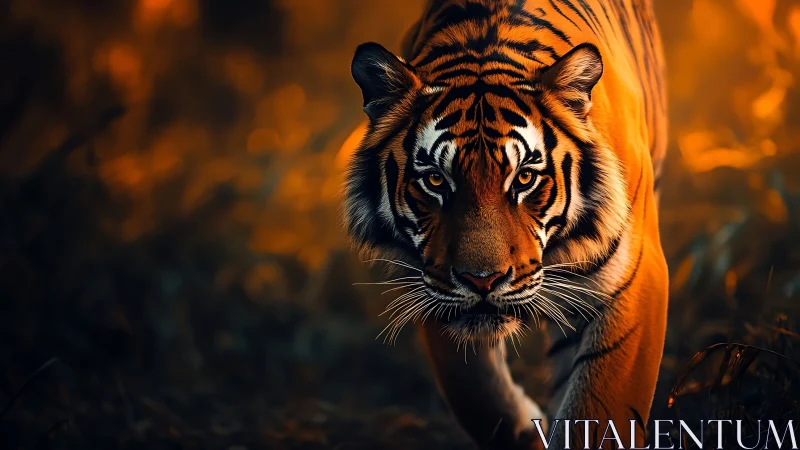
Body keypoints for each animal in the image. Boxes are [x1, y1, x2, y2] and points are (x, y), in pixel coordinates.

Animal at [340, 0, 668, 448]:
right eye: (436, 180)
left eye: (525, 178)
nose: (482, 281)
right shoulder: (430, 283)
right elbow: (475, 393)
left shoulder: (634, 278)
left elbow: (597, 414)